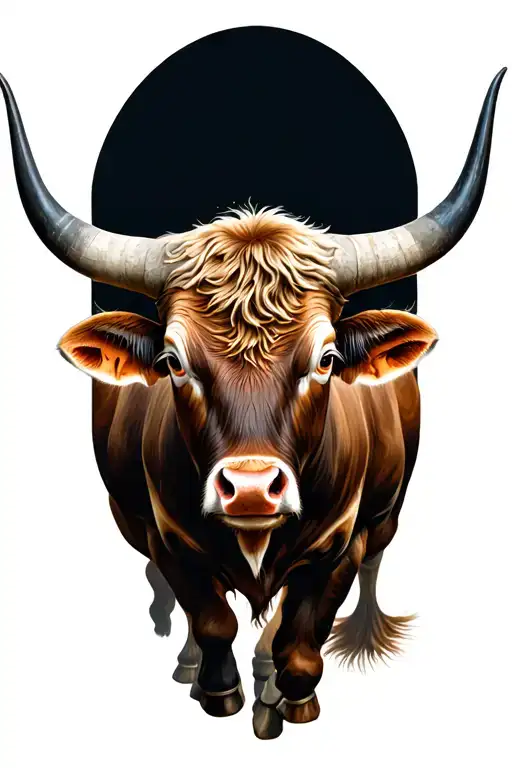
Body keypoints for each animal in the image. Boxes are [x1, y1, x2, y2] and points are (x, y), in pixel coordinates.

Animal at [0, 67, 505, 740]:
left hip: (385, 516)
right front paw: (219, 690)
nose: (248, 489)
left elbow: (300, 639)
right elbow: (211, 618)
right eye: (172, 361)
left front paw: (290, 700)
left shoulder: (341, 545)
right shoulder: (163, 534)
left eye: (326, 358)